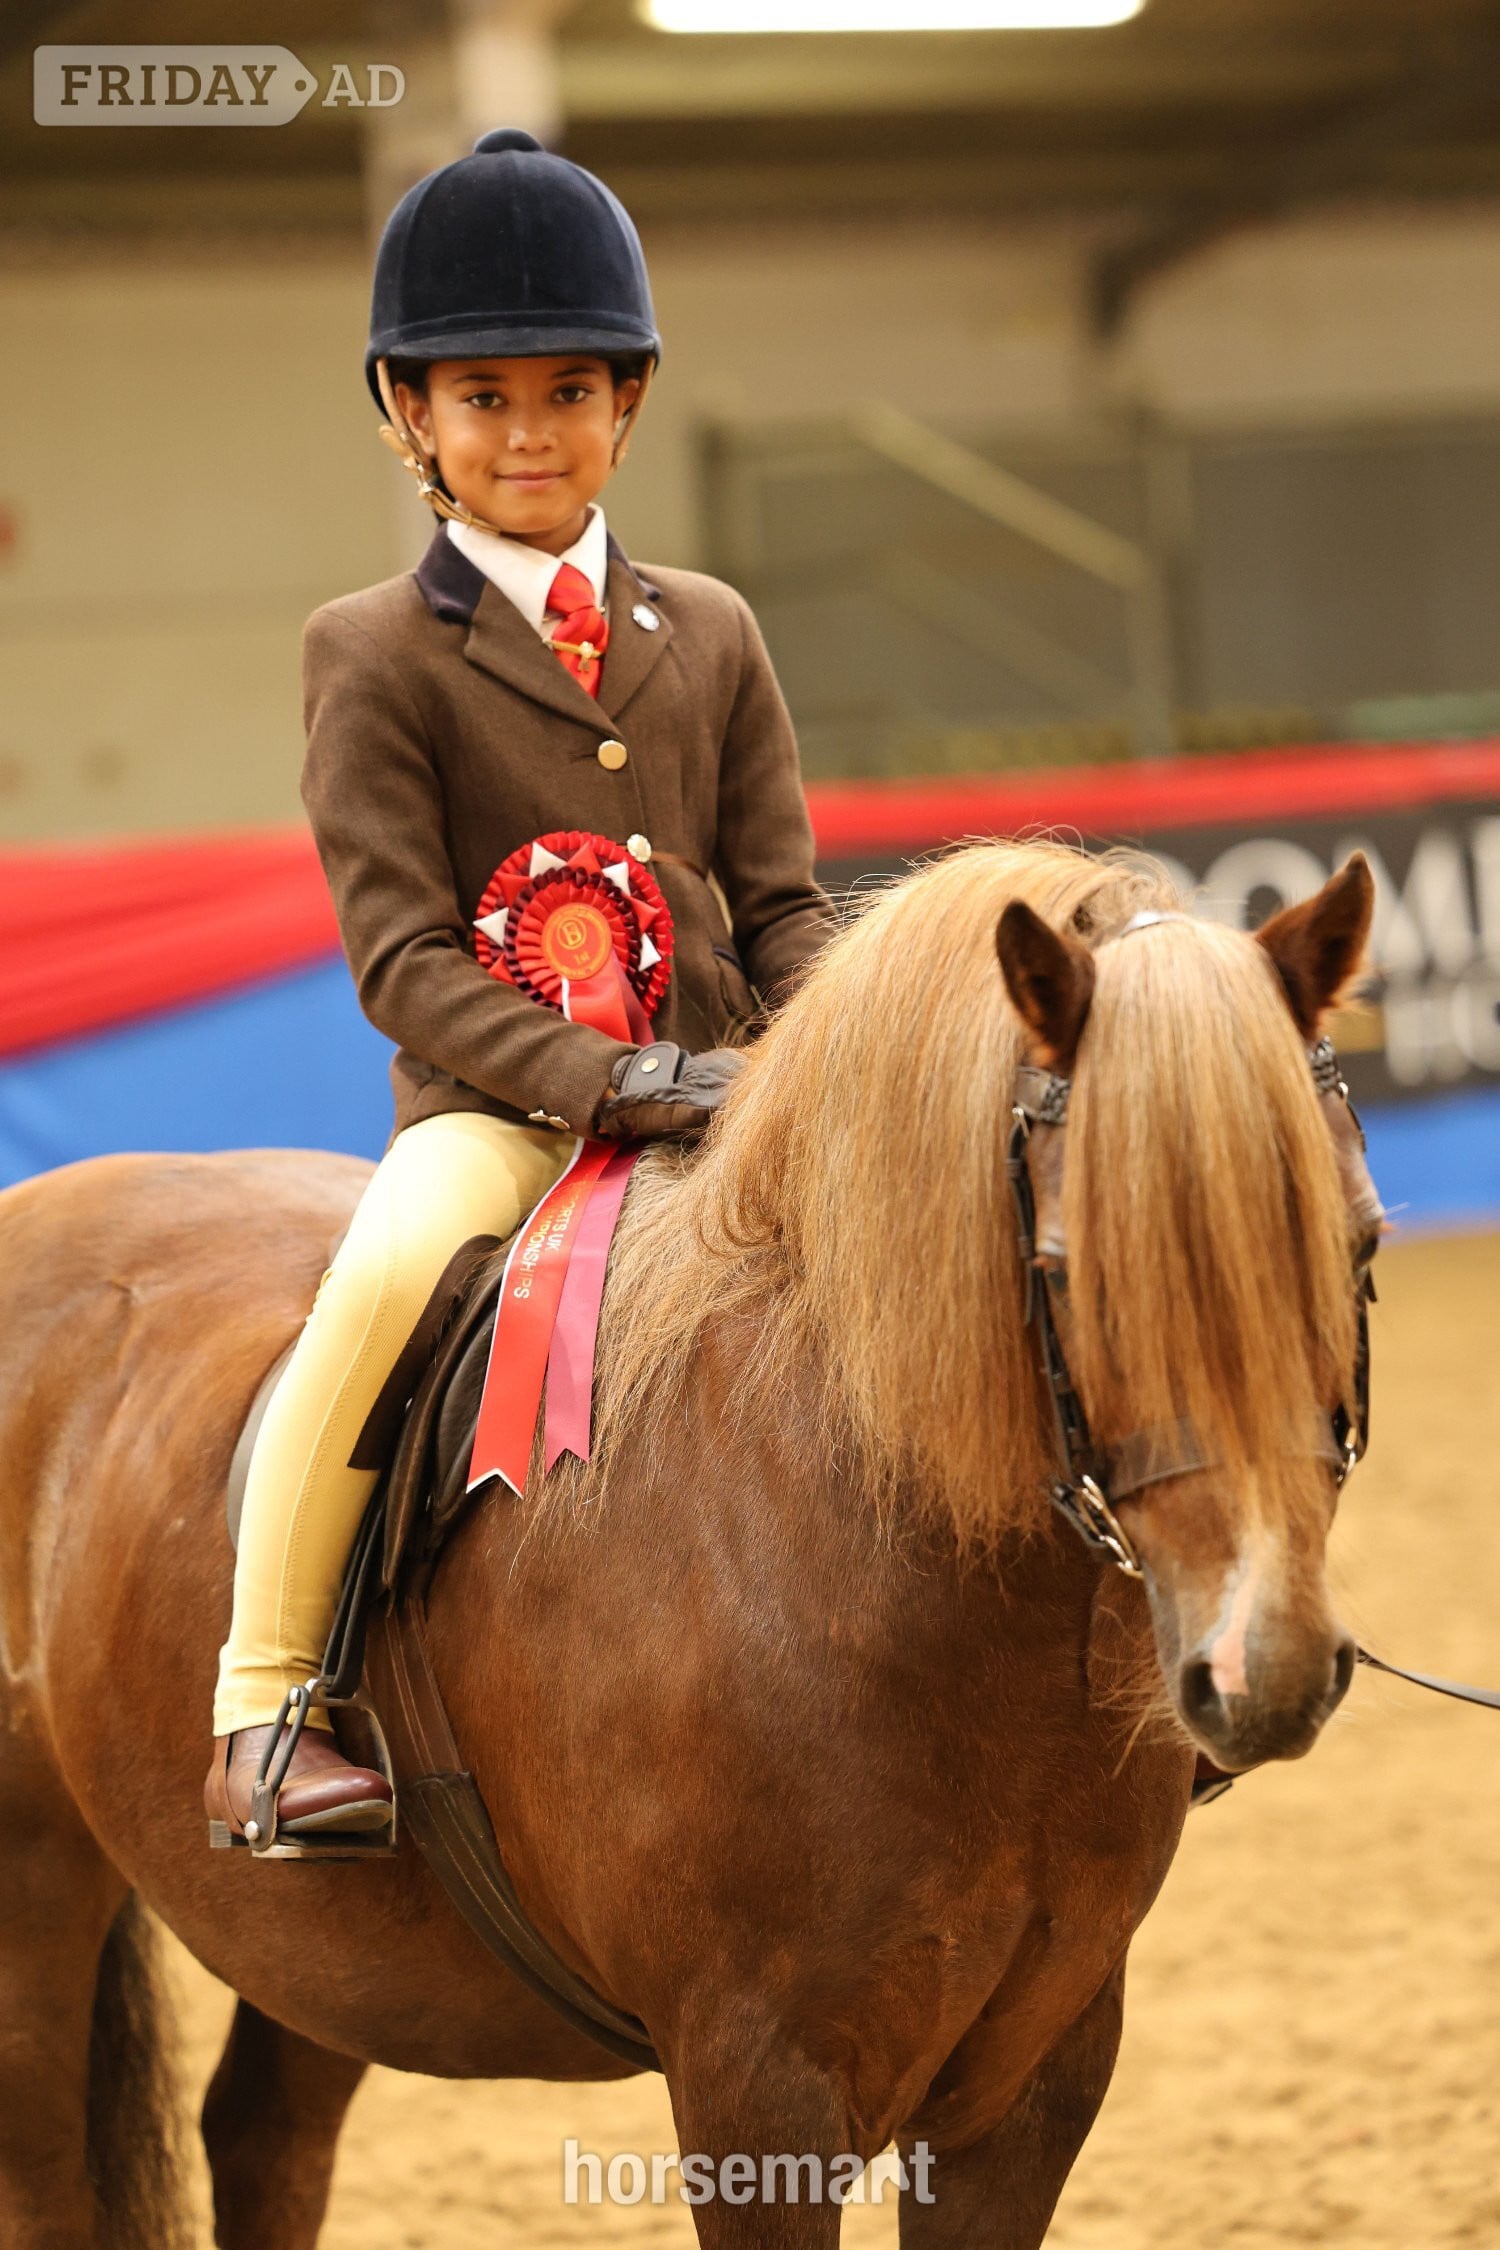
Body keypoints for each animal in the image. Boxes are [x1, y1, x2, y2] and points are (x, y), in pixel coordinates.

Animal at [0, 836, 1381, 2250]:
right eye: (1066, 1265)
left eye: (1361, 1239)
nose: (1264, 1666)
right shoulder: (755, 2084)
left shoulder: (1033, 2078)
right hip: (32, 1897)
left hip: (326, 1948)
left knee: (264, 2137)